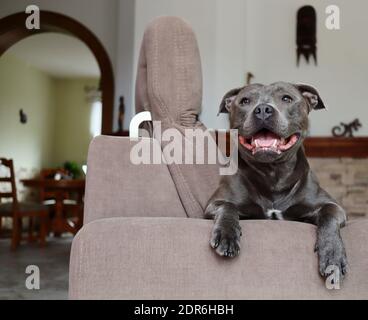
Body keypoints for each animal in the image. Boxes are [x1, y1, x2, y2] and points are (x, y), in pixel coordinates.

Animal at [207, 82, 348, 280]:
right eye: (245, 101)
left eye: (286, 98)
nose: (263, 109)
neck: (273, 174)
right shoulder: (214, 203)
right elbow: (227, 206)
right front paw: (226, 235)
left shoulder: (331, 206)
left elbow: (329, 214)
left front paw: (332, 254)